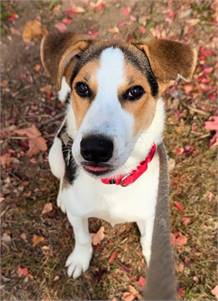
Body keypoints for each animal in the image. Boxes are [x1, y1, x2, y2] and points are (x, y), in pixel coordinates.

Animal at [40, 31, 197, 292]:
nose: (94, 149)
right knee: (62, 177)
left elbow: (149, 238)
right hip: (55, 156)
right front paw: (80, 259)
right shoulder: (79, 215)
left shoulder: (151, 213)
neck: (113, 184)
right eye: (82, 87)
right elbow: (82, 237)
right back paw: (62, 197)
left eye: (135, 92)